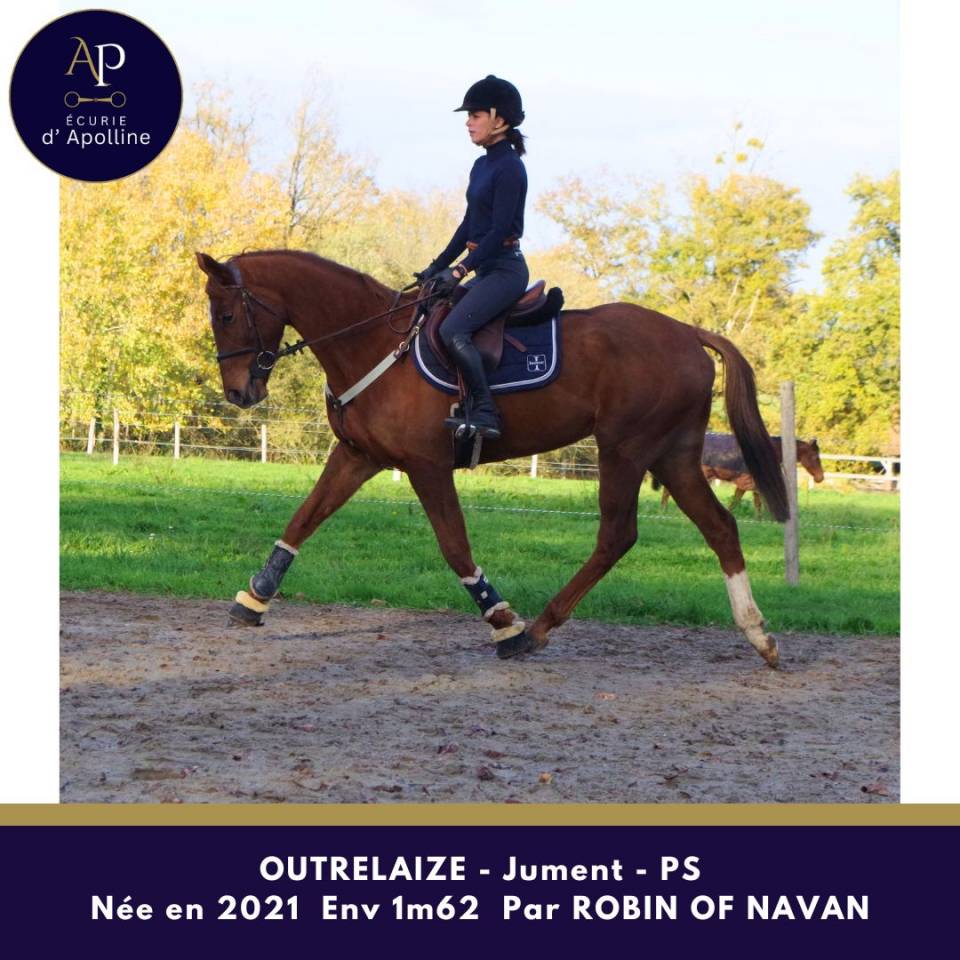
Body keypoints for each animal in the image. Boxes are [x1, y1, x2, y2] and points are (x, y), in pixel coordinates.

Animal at [196, 249, 789, 667]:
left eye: (225, 315)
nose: (239, 393)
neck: (370, 343)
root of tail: (687, 332)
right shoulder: (358, 455)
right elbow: (303, 518)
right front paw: (254, 598)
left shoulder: (426, 466)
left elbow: (455, 546)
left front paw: (503, 620)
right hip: (672, 455)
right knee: (719, 527)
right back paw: (758, 634)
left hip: (625, 448)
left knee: (617, 535)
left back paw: (538, 629)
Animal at [657, 433, 825, 518]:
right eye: (815, 456)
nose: (820, 477)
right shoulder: (746, 482)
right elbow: (736, 501)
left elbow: (757, 503)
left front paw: (760, 519)